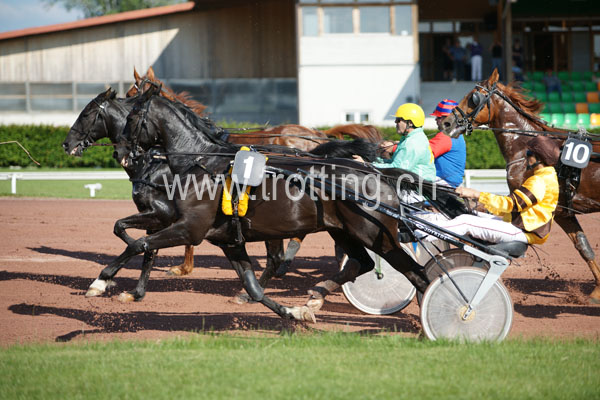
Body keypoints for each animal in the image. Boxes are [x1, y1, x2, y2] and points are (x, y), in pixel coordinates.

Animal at [441, 69, 600, 303]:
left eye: (473, 97)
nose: (446, 123)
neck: (526, 146)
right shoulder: (565, 212)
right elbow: (583, 246)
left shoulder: (538, 204)